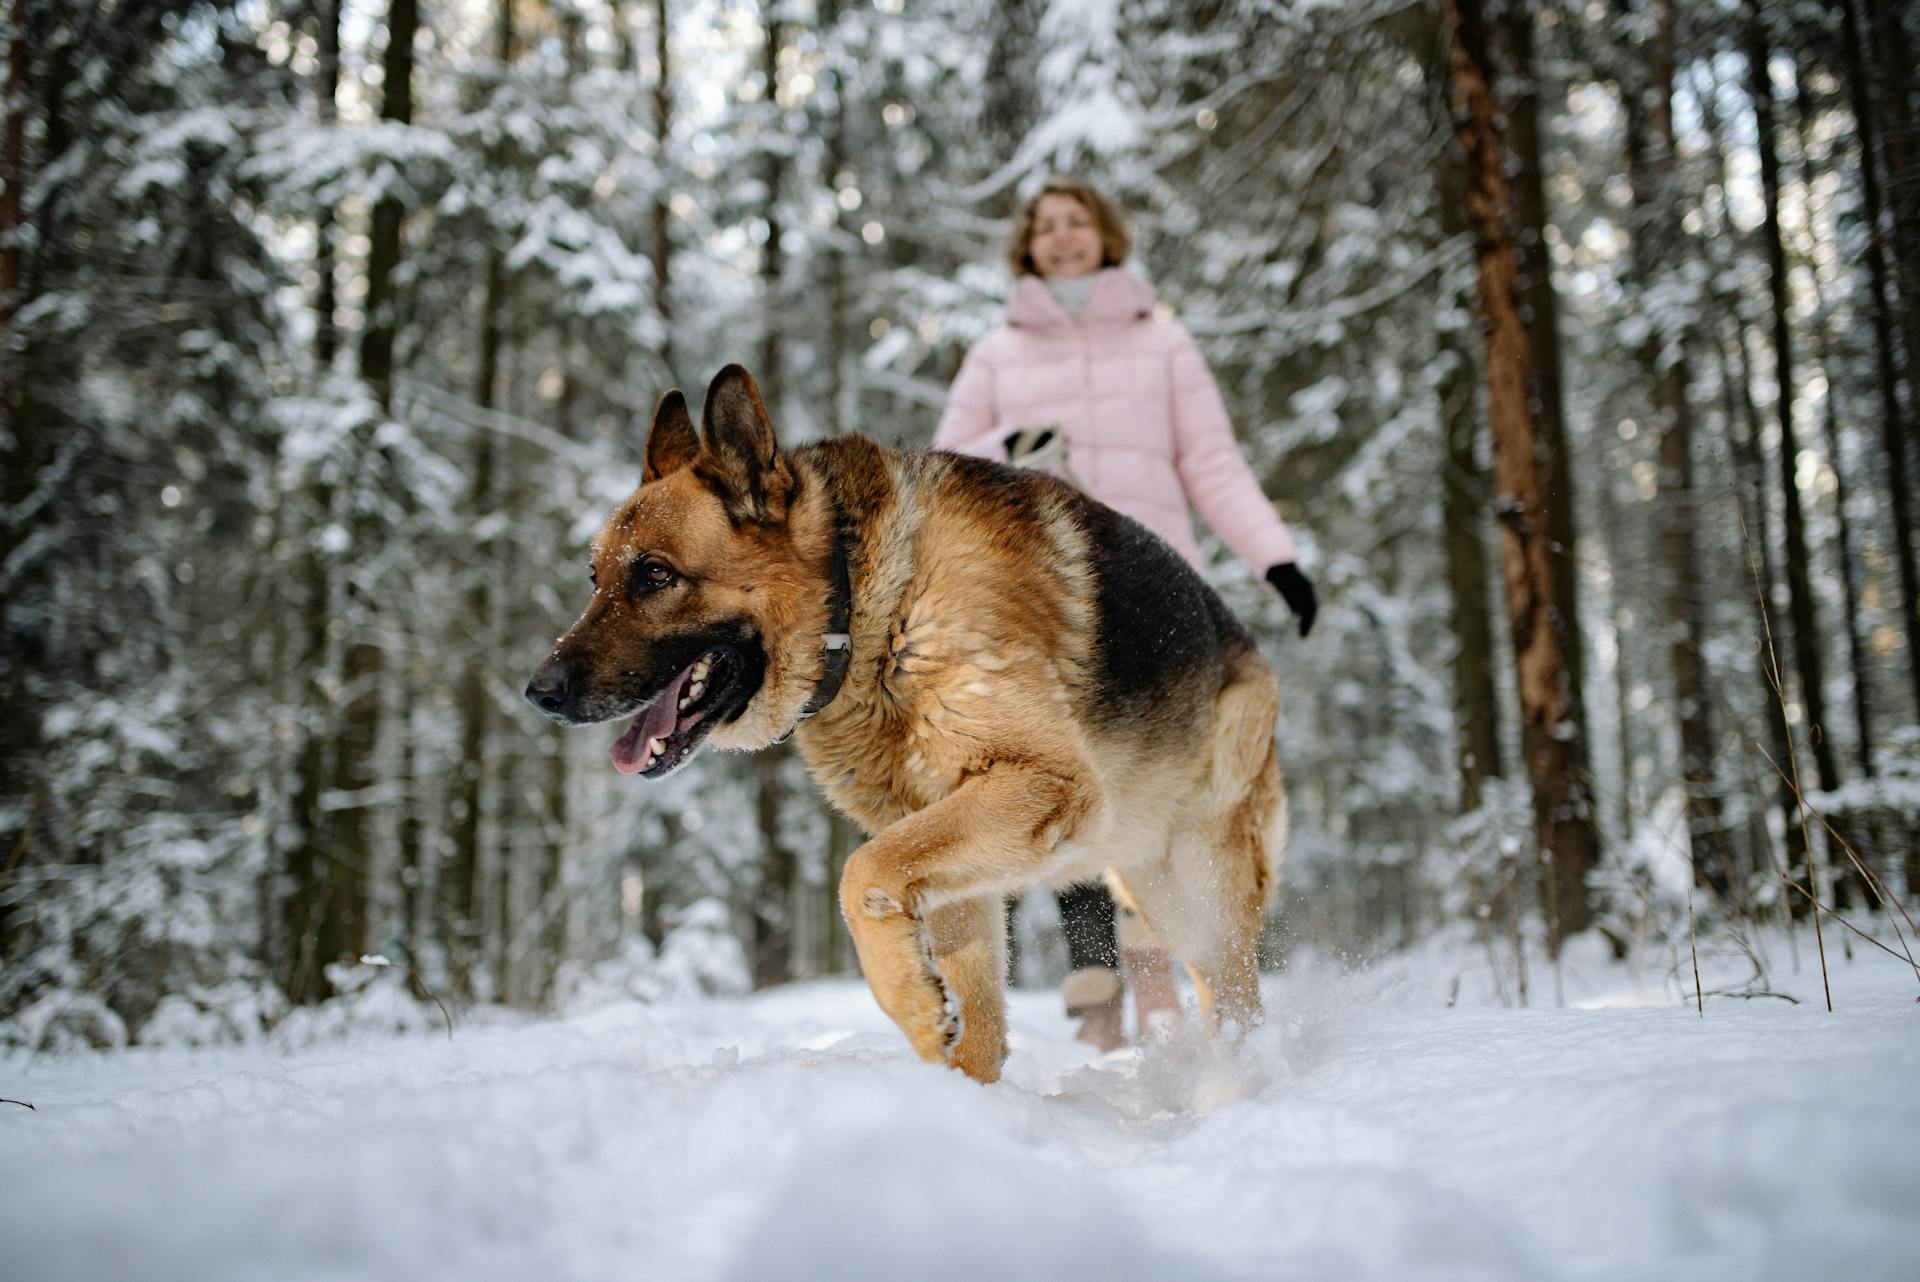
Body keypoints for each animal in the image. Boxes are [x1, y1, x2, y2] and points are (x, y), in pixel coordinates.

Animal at [522, 362, 1290, 1082]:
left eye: (655, 575)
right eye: (595, 580)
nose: (538, 692)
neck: (866, 608)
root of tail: (1248, 647)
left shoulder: (1039, 782)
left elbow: (857, 876)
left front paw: (916, 1011)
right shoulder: (943, 856)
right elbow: (975, 1015)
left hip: (1198, 894)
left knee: (1235, 997)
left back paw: (1232, 1084)